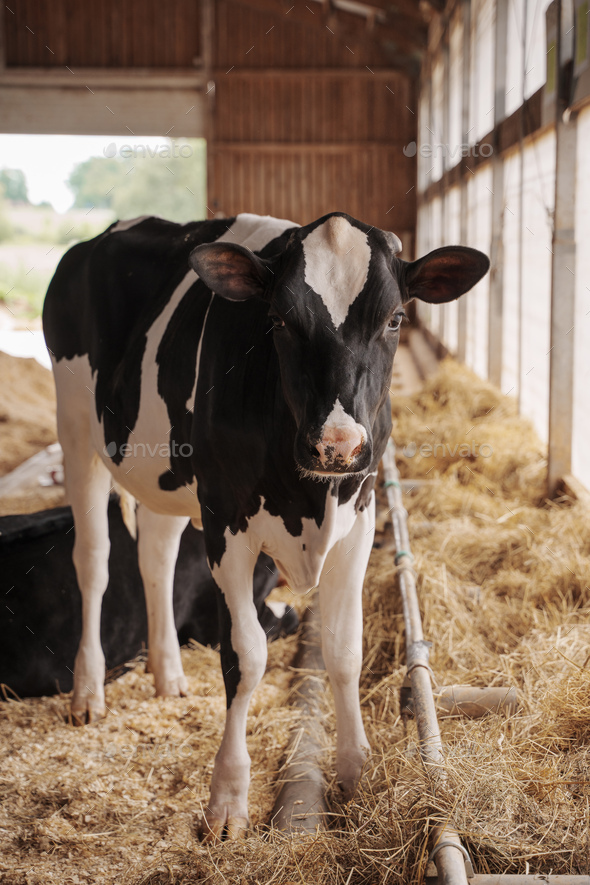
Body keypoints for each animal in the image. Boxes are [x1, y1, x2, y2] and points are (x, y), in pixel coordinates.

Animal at [42, 212, 490, 836]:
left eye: (395, 318)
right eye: (279, 320)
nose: (337, 445)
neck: (310, 497)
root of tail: (111, 231)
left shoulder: (359, 520)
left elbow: (344, 650)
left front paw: (354, 771)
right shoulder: (226, 522)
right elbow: (246, 656)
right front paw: (227, 799)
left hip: (165, 469)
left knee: (155, 556)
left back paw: (168, 674)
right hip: (76, 427)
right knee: (95, 562)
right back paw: (87, 692)